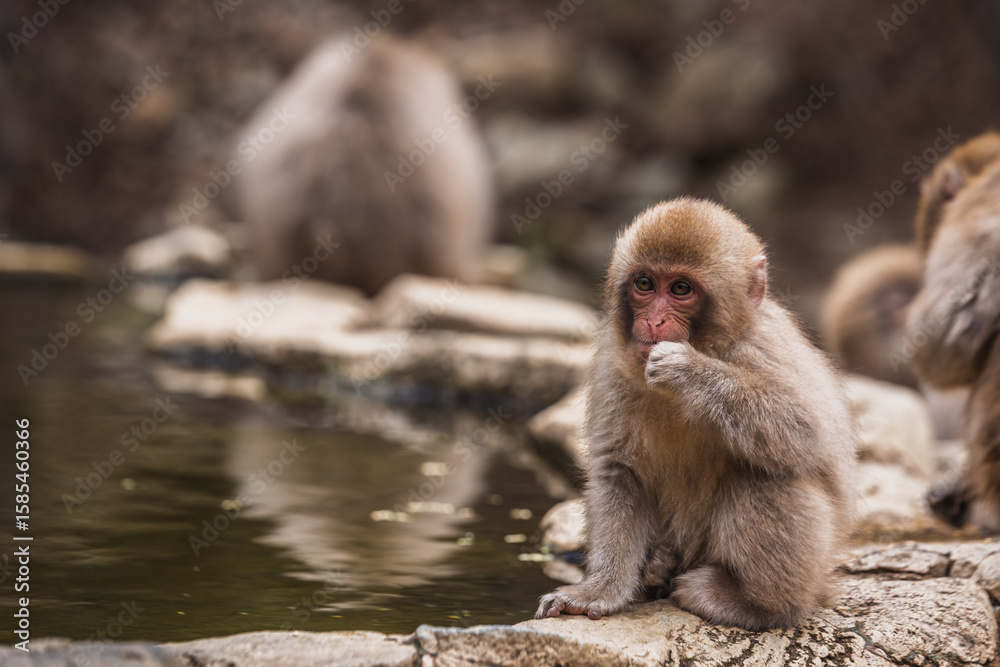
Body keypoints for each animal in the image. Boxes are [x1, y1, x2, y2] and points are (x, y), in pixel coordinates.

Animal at [535, 198, 857, 631]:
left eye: (680, 289)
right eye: (645, 284)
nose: (653, 321)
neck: (712, 344)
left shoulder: (765, 346)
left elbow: (809, 432)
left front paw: (690, 372)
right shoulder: (612, 367)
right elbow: (618, 471)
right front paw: (597, 591)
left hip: (807, 571)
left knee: (765, 475)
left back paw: (758, 606)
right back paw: (657, 569)